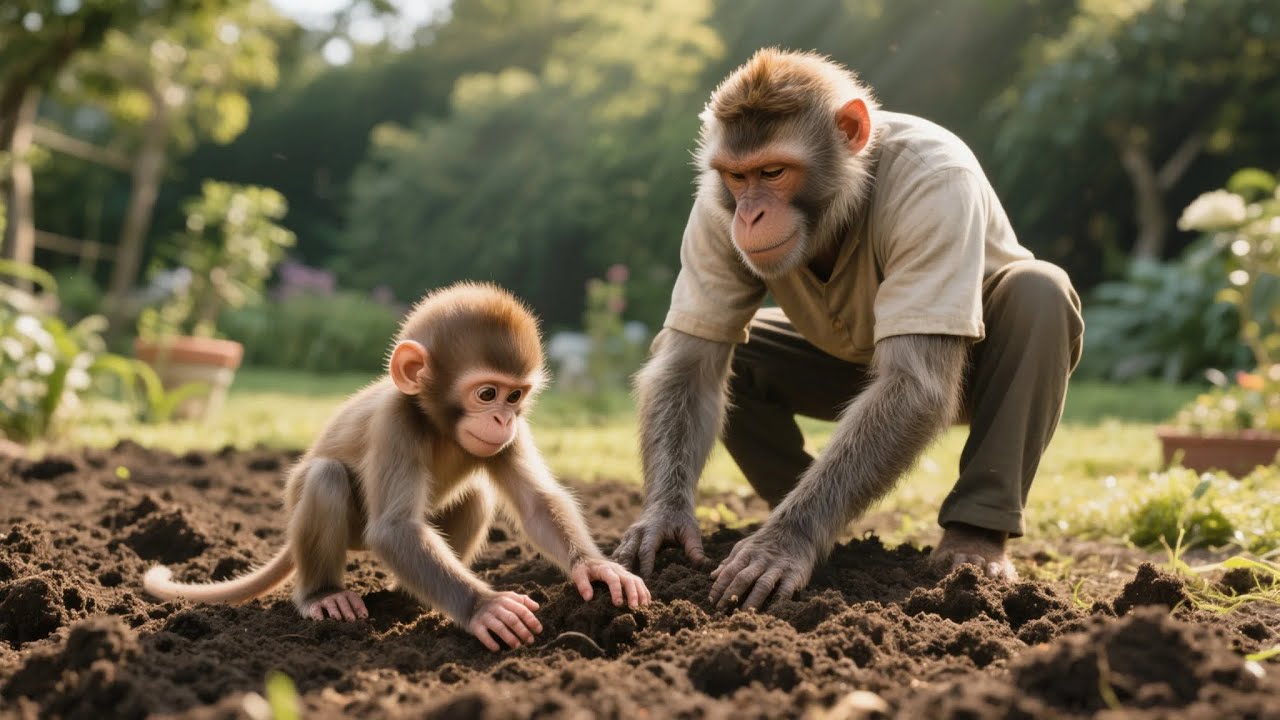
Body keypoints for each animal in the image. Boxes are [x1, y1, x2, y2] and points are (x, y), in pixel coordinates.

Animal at [145, 282, 651, 651]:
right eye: (486, 393)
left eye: (515, 397)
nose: (502, 419)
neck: (438, 423)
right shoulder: (395, 422)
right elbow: (393, 529)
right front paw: (485, 607)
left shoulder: (510, 439)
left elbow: (537, 504)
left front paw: (598, 569)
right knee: (326, 478)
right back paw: (322, 596)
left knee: (477, 496)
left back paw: (404, 598)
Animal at [613, 48, 1083, 610]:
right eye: (737, 178)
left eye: (773, 171)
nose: (749, 216)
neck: (844, 201)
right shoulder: (711, 211)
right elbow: (692, 362)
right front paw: (664, 520)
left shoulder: (940, 195)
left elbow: (913, 384)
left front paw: (785, 540)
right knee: (743, 359)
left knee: (1038, 295)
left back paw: (974, 544)